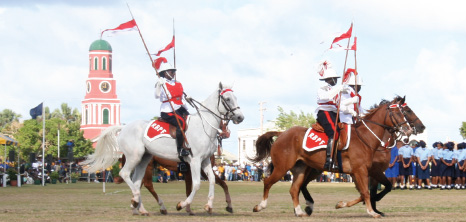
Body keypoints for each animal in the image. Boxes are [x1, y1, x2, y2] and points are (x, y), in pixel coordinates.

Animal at [82, 82, 244, 214]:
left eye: (236, 97)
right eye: (227, 99)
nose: (240, 117)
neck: (203, 127)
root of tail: (124, 127)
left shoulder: (204, 161)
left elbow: (211, 180)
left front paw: (208, 205)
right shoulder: (195, 161)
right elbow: (197, 185)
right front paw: (182, 205)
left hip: (144, 159)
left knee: (137, 182)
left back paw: (139, 207)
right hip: (135, 157)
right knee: (126, 175)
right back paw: (139, 201)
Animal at [251, 96, 418, 218]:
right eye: (402, 112)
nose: (411, 130)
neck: (365, 137)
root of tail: (281, 134)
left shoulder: (360, 172)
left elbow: (365, 193)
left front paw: (342, 204)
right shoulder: (361, 171)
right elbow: (365, 192)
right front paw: (372, 212)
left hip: (300, 169)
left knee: (294, 189)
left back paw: (299, 211)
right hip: (282, 167)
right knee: (268, 182)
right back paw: (260, 206)